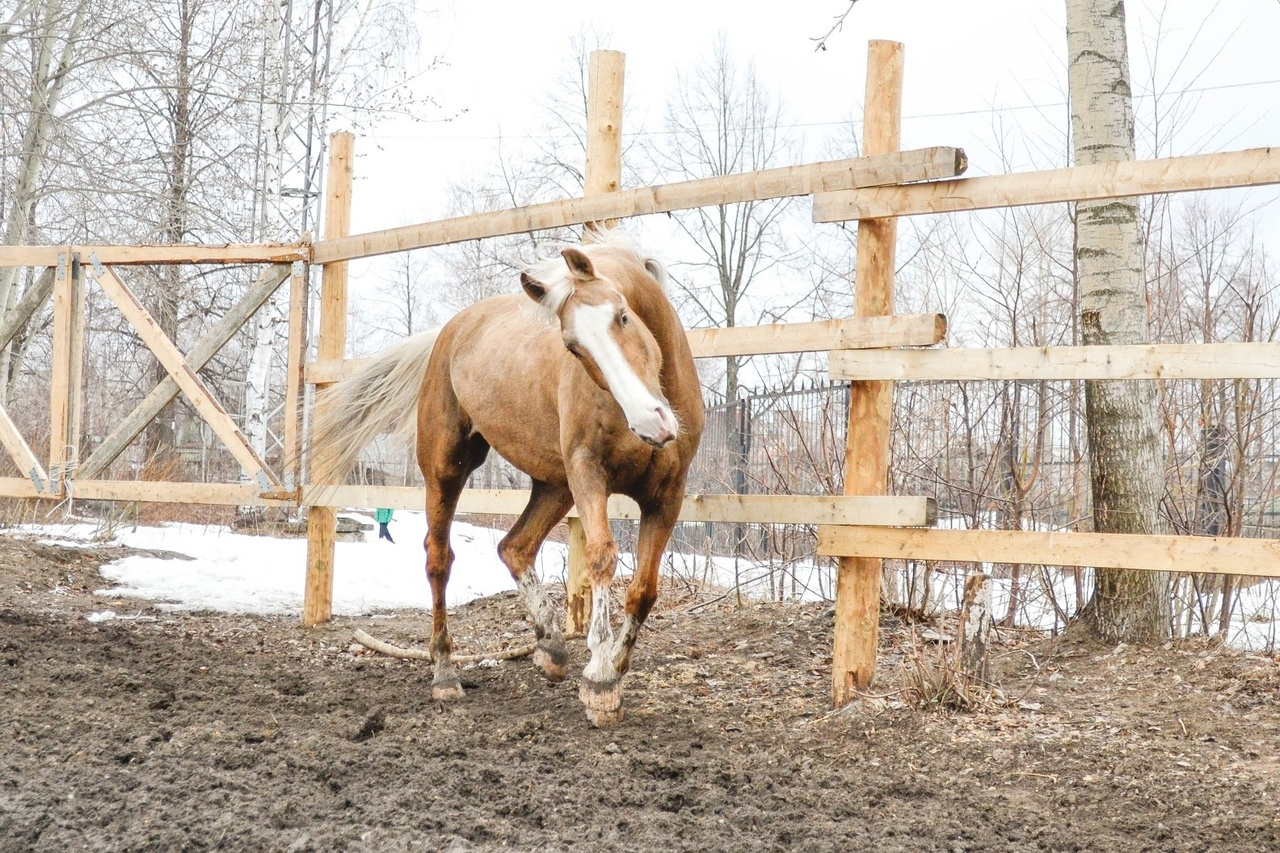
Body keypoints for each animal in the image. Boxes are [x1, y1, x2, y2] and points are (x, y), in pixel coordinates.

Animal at [313, 233, 706, 722]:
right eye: (573, 347)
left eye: (623, 315)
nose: (651, 422)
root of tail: (448, 332)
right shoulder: (588, 475)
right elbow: (601, 558)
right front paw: (599, 679)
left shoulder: (667, 496)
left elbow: (644, 591)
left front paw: (613, 666)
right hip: (448, 469)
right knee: (439, 559)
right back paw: (446, 673)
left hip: (554, 485)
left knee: (514, 546)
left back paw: (551, 646)